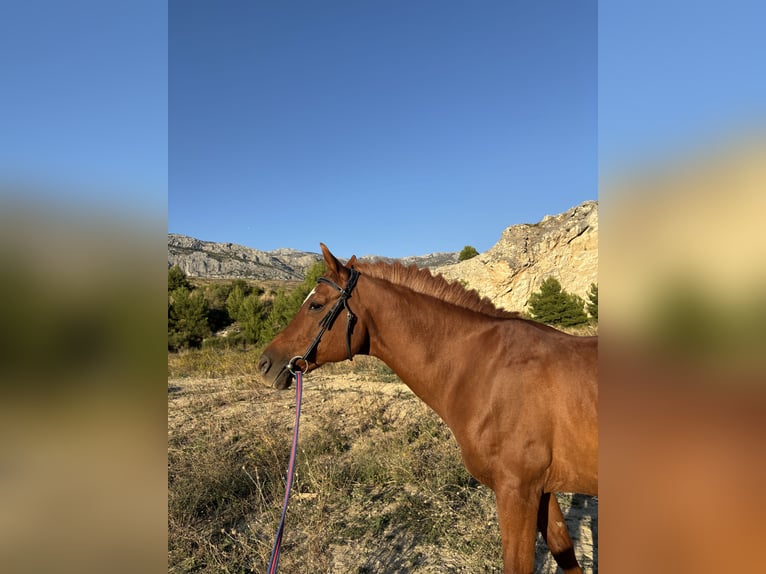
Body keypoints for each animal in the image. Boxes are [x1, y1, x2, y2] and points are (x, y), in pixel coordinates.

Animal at [258, 244, 598, 574]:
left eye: (315, 305)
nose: (265, 363)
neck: (487, 367)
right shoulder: (541, 491)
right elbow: (565, 553)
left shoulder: (518, 491)